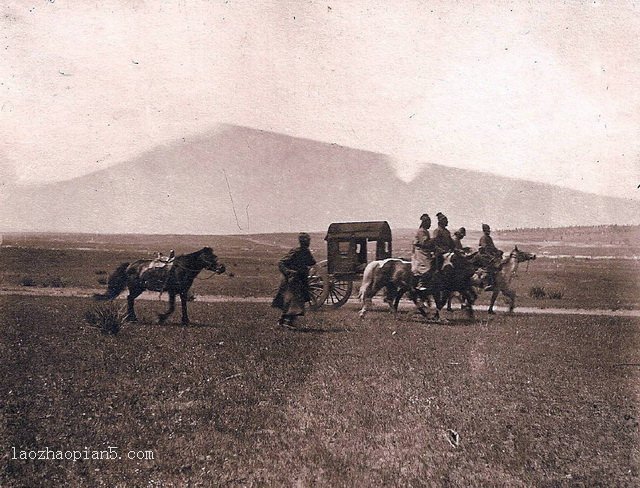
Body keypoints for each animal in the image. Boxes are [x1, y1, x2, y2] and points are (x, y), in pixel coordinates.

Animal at [93, 248, 225, 324]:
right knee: (130, 298)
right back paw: (132, 318)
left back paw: (132, 318)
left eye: (215, 256)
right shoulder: (172, 291)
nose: (222, 268)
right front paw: (161, 318)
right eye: (209, 257)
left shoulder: (183, 291)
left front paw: (186, 321)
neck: (183, 268)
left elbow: (183, 305)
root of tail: (129, 265)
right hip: (137, 288)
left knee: (130, 299)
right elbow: (172, 307)